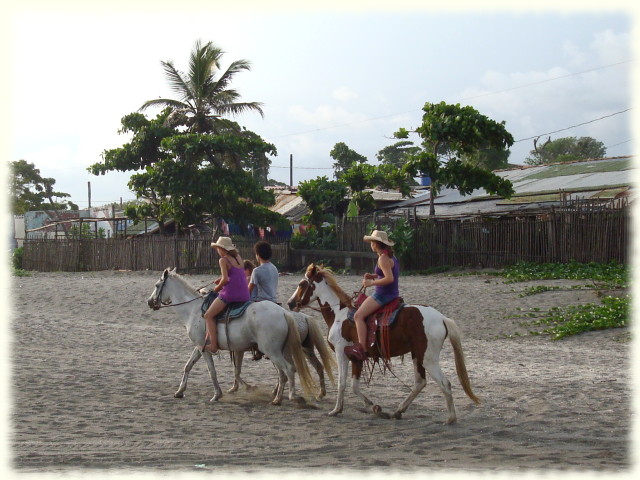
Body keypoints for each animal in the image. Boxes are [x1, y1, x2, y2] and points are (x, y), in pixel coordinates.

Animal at [147, 268, 332, 404]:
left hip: (273, 351)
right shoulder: (200, 346)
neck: (194, 310)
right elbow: (188, 366)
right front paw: (180, 391)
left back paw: (287, 397)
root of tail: (284, 313)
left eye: (156, 285)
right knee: (287, 371)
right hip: (283, 351)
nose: (149, 302)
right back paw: (281, 396)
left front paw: (217, 395)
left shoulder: (203, 348)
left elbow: (212, 371)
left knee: (288, 370)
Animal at [286, 262, 480, 424]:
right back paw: (398, 411)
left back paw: (450, 418)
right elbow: (354, 386)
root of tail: (441, 318)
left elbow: (342, 383)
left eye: (302, 284)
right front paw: (375, 408)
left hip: (428, 358)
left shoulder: (342, 353)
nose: (290, 303)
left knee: (444, 383)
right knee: (420, 383)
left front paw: (336, 410)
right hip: (417, 355)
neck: (340, 315)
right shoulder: (357, 358)